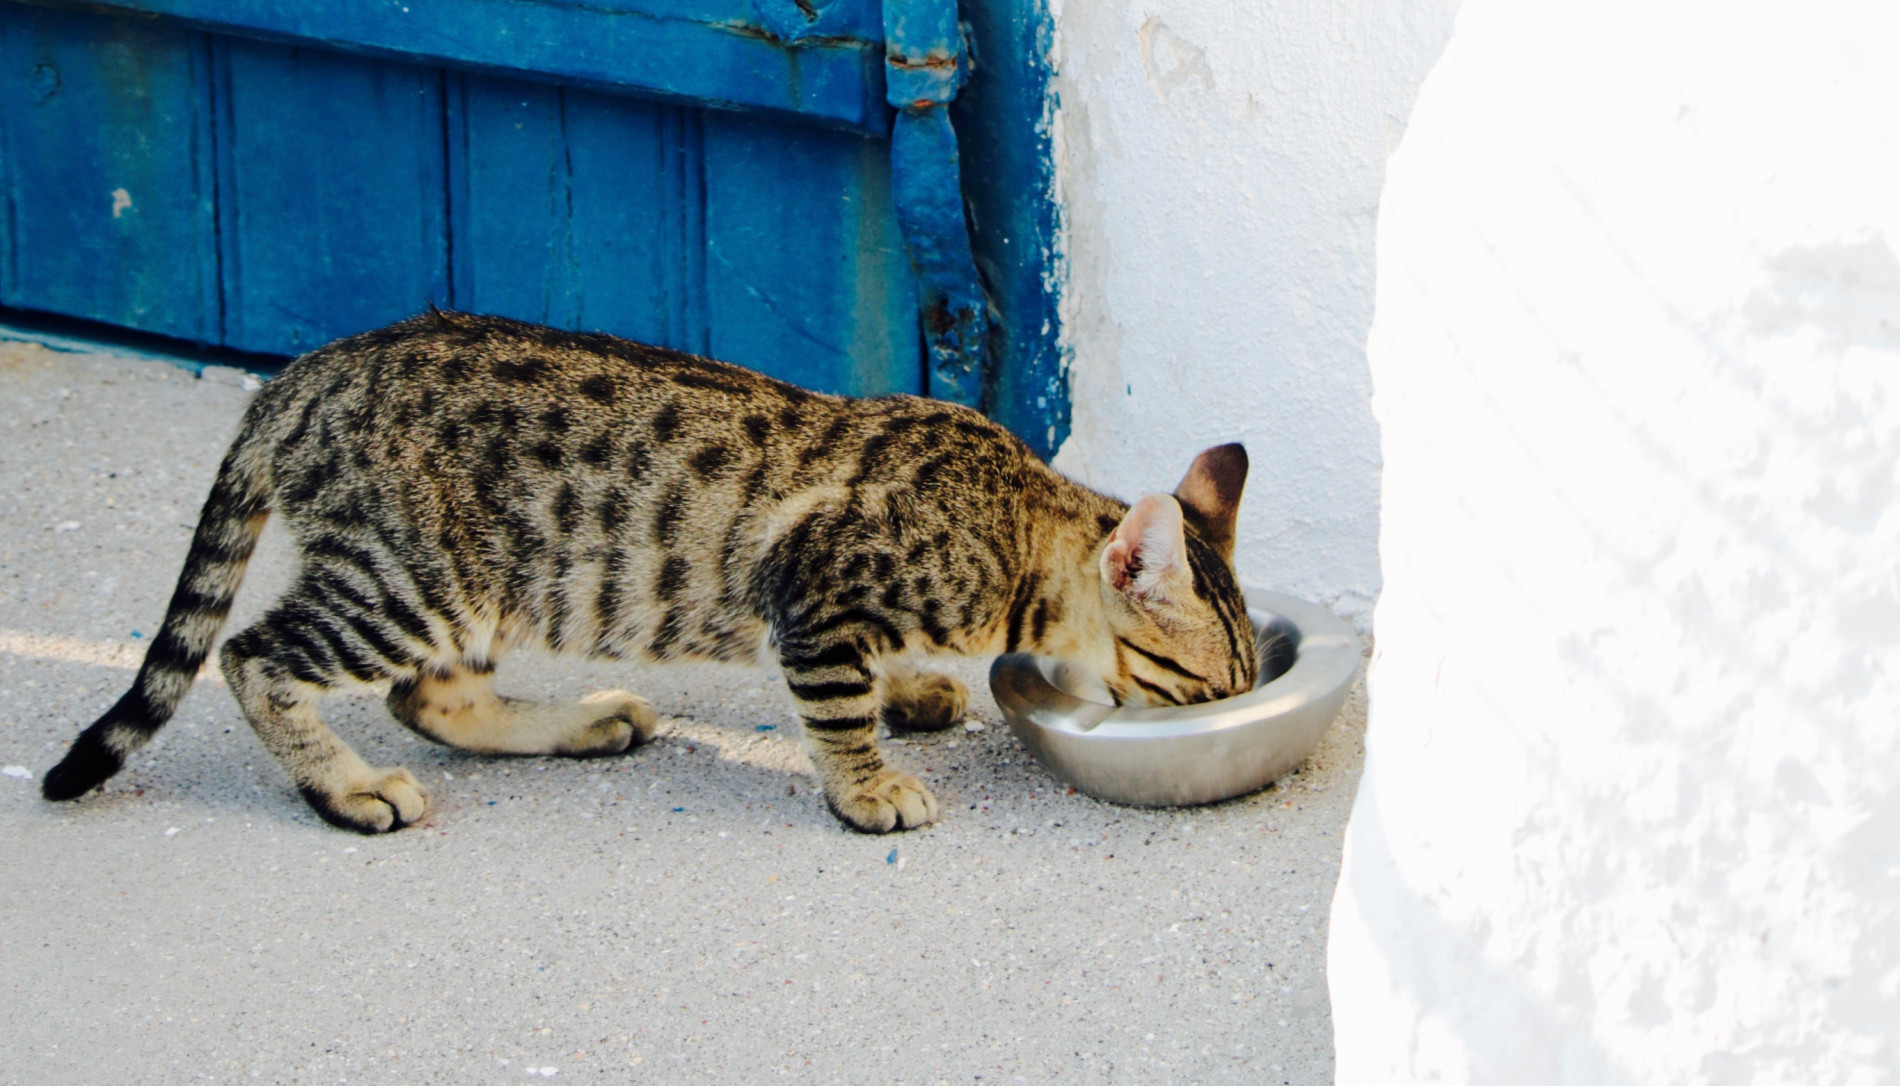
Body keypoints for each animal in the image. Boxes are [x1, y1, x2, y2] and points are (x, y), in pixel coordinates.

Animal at [37, 309, 1254, 835]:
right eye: (1203, 689)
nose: (1227, 712)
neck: (1014, 519)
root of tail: (302, 376)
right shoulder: (810, 591)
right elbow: (834, 706)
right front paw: (868, 786)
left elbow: (871, 678)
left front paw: (913, 688)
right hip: (406, 581)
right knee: (255, 656)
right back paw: (346, 786)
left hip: (477, 587)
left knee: (429, 696)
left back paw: (579, 721)